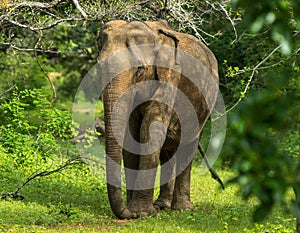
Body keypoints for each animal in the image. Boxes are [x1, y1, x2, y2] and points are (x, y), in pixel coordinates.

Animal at [97, 19, 219, 219]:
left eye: (139, 70)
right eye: (99, 67)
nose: (127, 214)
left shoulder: (171, 78)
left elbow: (149, 131)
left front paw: (141, 212)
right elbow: (132, 135)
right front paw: (136, 210)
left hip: (205, 106)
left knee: (188, 146)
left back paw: (182, 208)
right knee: (168, 151)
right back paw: (162, 206)